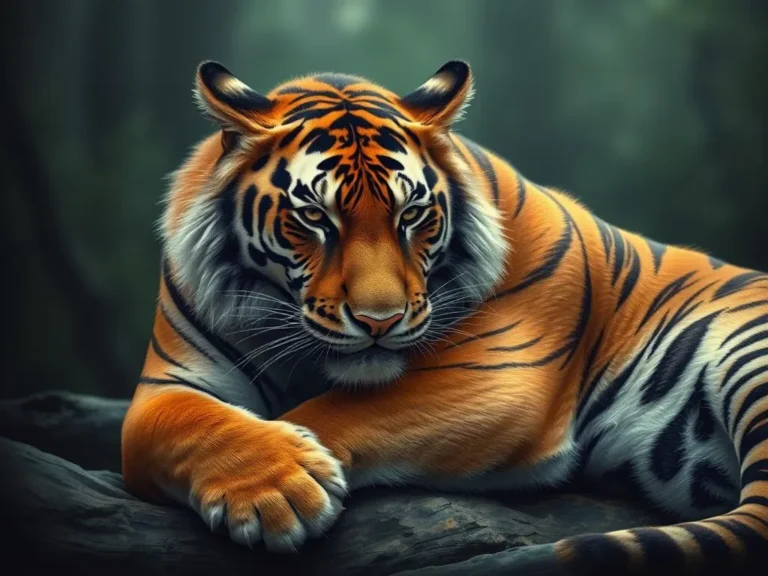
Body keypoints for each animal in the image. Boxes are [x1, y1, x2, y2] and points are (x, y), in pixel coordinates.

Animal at [120, 59, 768, 575]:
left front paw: (288, 488)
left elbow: (338, 410)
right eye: (314, 217)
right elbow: (192, 423)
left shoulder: (497, 375)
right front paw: (273, 490)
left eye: (411, 214)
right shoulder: (166, 384)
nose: (379, 321)